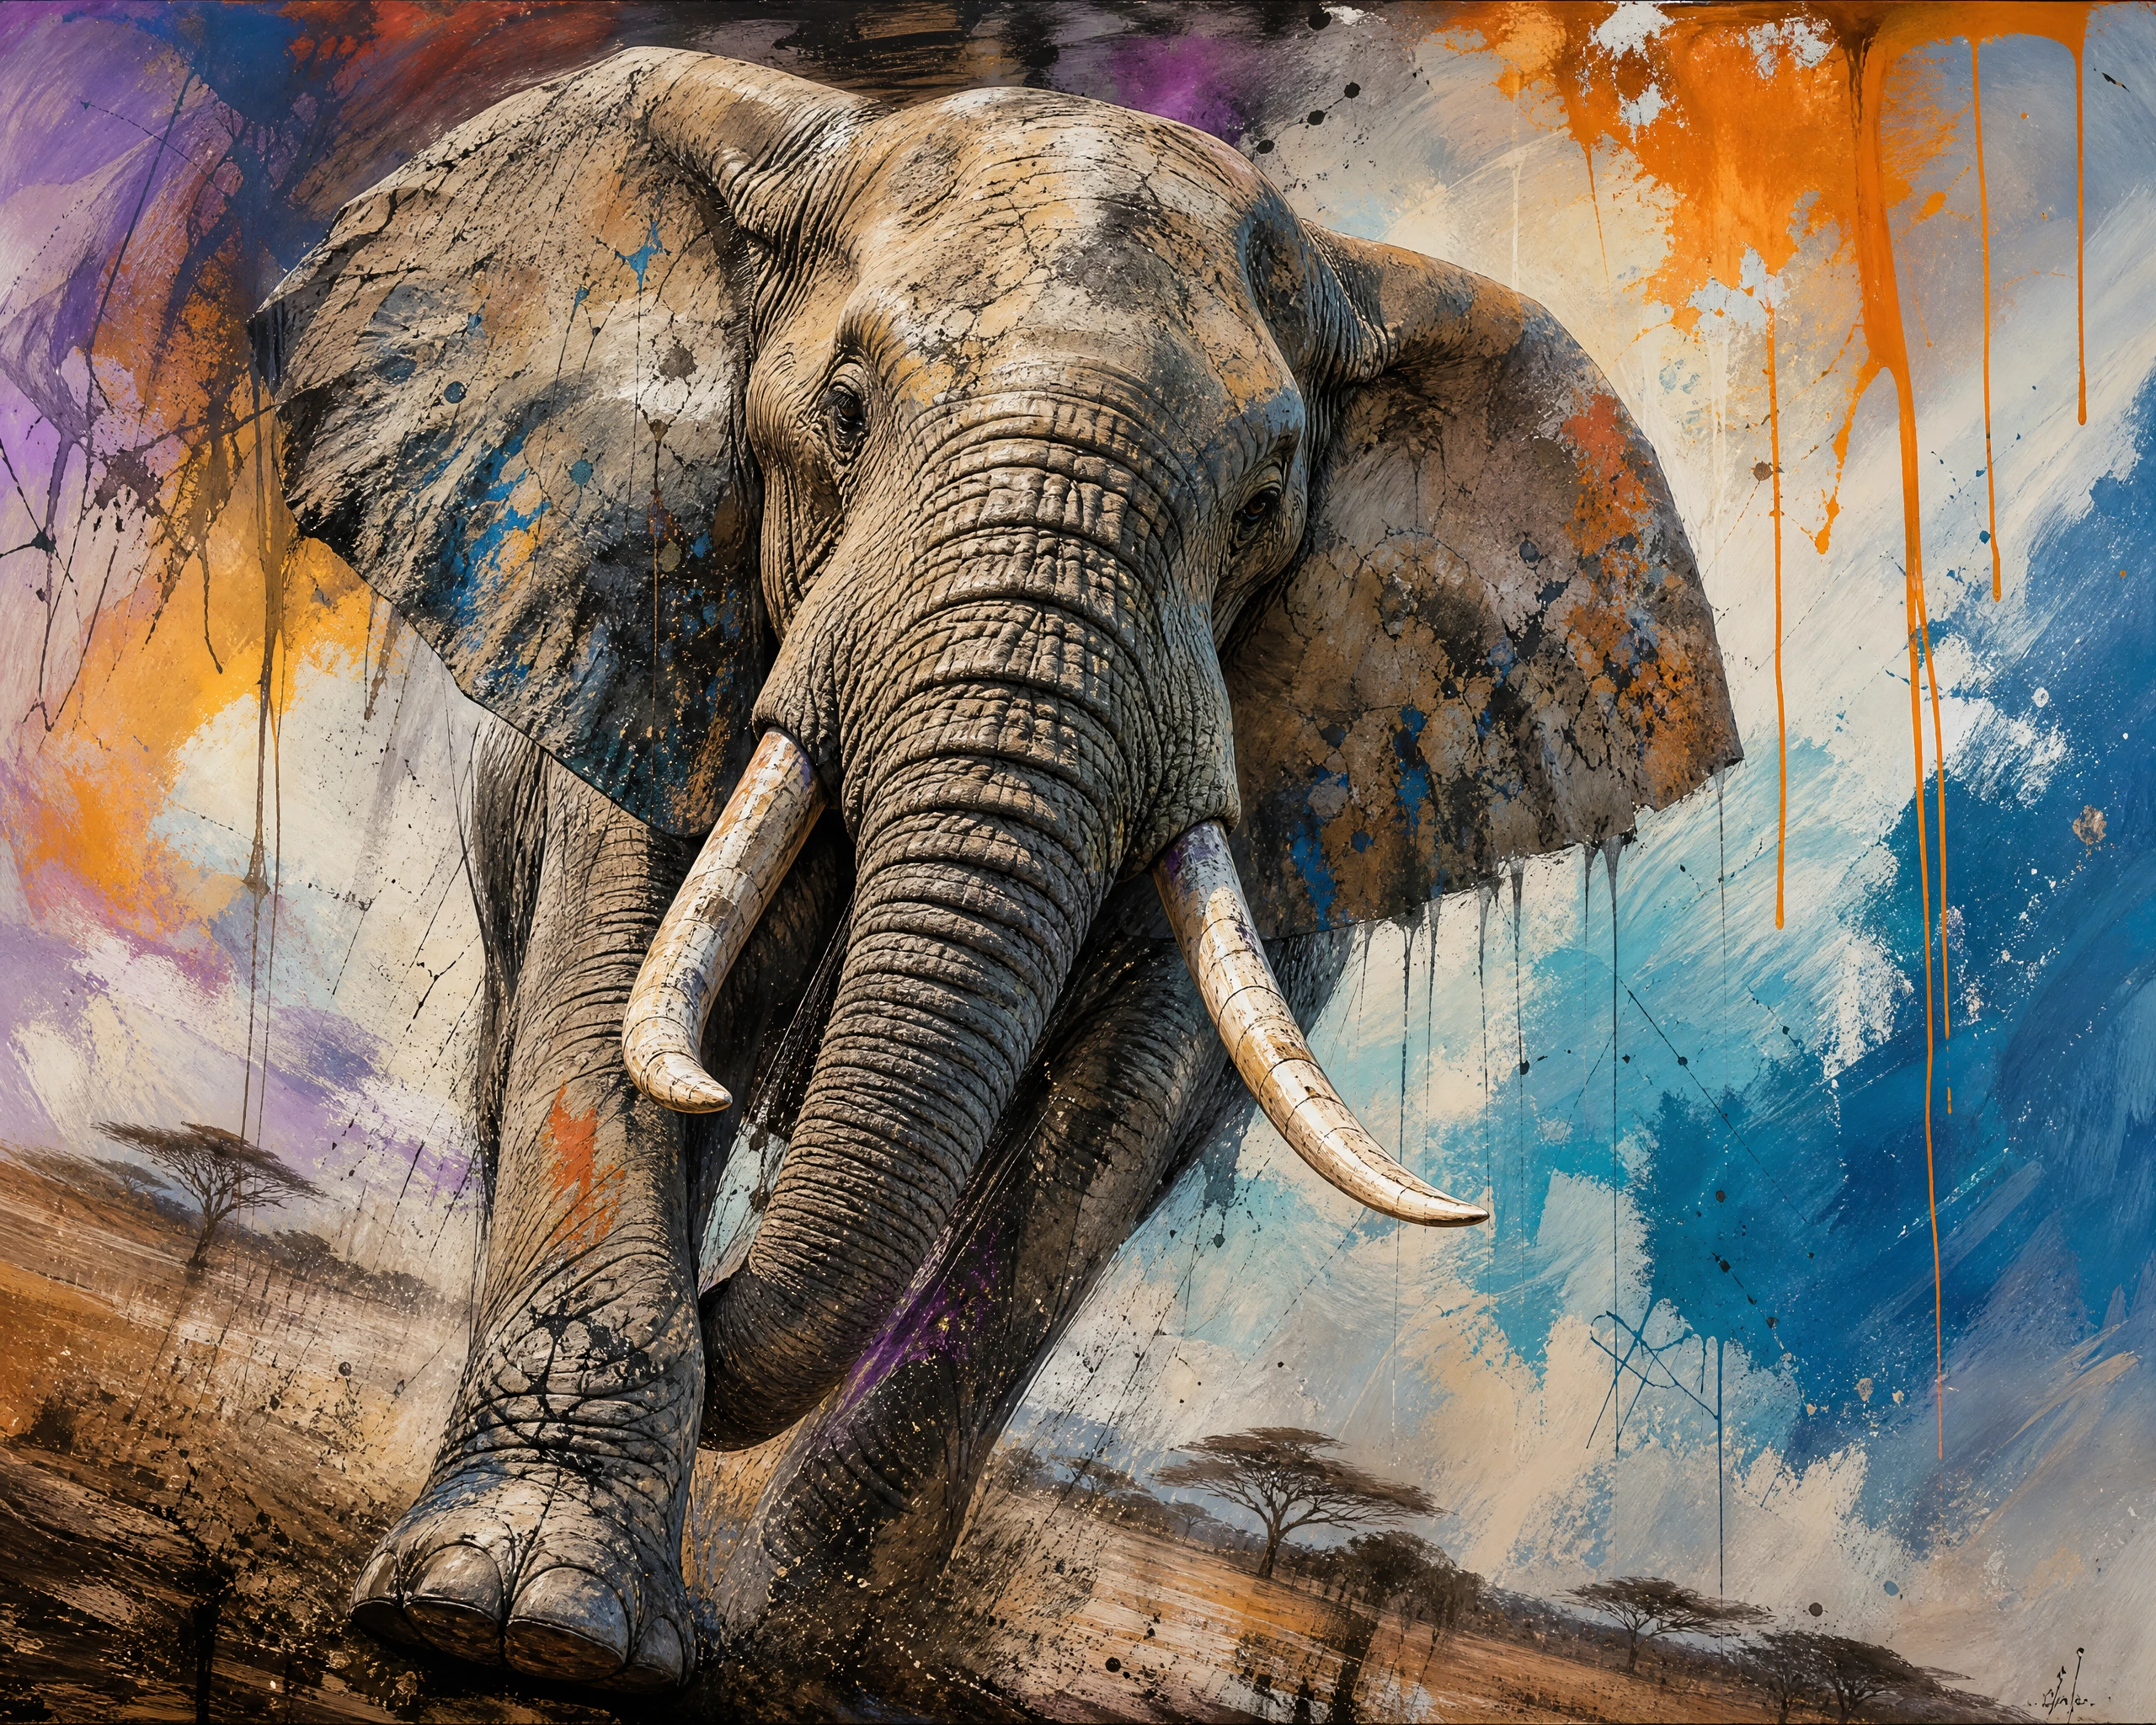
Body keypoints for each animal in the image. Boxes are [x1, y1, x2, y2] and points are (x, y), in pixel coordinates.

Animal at [251, 46, 1738, 1692]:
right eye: (843, 413)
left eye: (1263, 508)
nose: (715, 1303)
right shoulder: (645, 605)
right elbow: (614, 986)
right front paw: (513, 1621)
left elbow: (1116, 1115)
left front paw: (795, 1645)